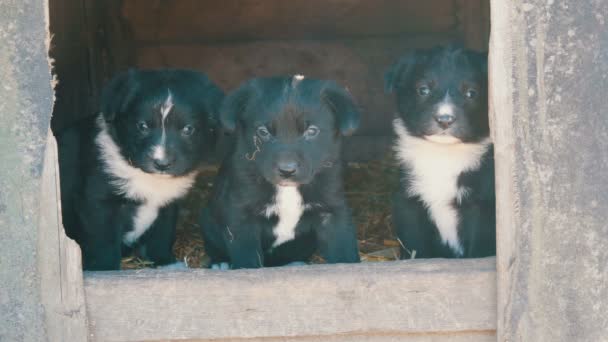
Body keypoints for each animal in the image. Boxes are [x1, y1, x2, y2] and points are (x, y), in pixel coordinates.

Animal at [56, 69, 223, 270]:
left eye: (188, 129)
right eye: (142, 126)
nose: (162, 163)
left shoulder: (167, 204)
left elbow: (162, 235)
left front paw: (164, 263)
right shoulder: (97, 202)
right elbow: (103, 242)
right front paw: (105, 270)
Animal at [200, 75, 360, 270]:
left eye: (312, 131)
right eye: (263, 132)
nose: (287, 170)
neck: (288, 189)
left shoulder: (332, 211)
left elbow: (344, 251)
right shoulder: (241, 215)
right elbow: (247, 258)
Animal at [388, 46, 496, 260]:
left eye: (471, 93)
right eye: (423, 90)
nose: (445, 119)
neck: (443, 155)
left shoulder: (483, 206)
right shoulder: (409, 202)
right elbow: (415, 246)